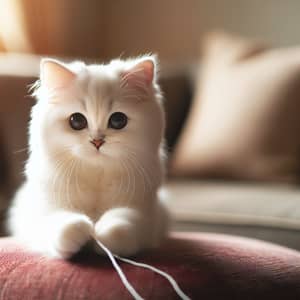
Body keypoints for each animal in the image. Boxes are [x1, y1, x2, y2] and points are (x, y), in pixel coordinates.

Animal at [6, 55, 169, 258]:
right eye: (77, 121)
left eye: (118, 120)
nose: (97, 142)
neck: (96, 175)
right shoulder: (43, 210)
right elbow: (59, 221)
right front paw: (79, 230)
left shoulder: (144, 213)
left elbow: (123, 223)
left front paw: (102, 235)